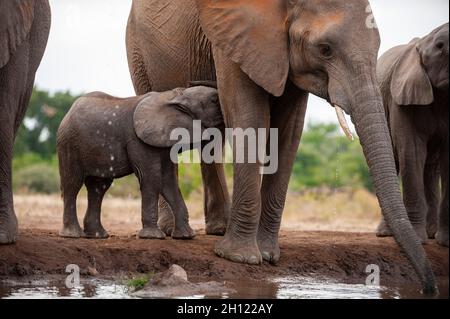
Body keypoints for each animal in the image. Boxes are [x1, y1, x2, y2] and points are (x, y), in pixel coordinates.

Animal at [57, 86, 224, 241]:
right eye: (214, 101)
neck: (172, 96)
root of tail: (68, 112)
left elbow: (168, 182)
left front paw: (186, 236)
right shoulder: (138, 141)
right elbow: (151, 179)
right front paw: (153, 237)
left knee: (98, 188)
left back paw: (98, 236)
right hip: (68, 144)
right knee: (72, 184)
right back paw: (72, 235)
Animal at [127, 0, 440, 294]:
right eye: (325, 49)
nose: (429, 288)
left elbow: (289, 130)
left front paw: (268, 255)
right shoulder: (237, 38)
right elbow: (249, 116)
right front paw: (240, 258)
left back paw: (218, 229)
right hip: (137, 50)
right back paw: (172, 231)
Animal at [374, 23, 448, 248]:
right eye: (440, 46)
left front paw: (444, 242)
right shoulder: (402, 98)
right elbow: (412, 152)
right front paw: (418, 239)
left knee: (431, 168)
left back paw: (431, 233)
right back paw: (386, 234)